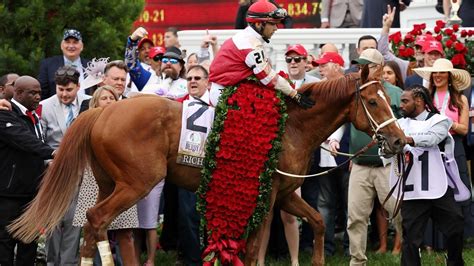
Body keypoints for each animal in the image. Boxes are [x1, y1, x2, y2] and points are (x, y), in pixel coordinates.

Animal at [9, 70, 404, 264]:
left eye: (389, 97)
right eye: (373, 101)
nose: (400, 140)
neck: (292, 125)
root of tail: (104, 109)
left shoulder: (286, 195)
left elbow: (320, 222)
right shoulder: (267, 196)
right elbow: (253, 247)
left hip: (110, 183)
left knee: (96, 227)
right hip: (137, 184)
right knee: (96, 219)